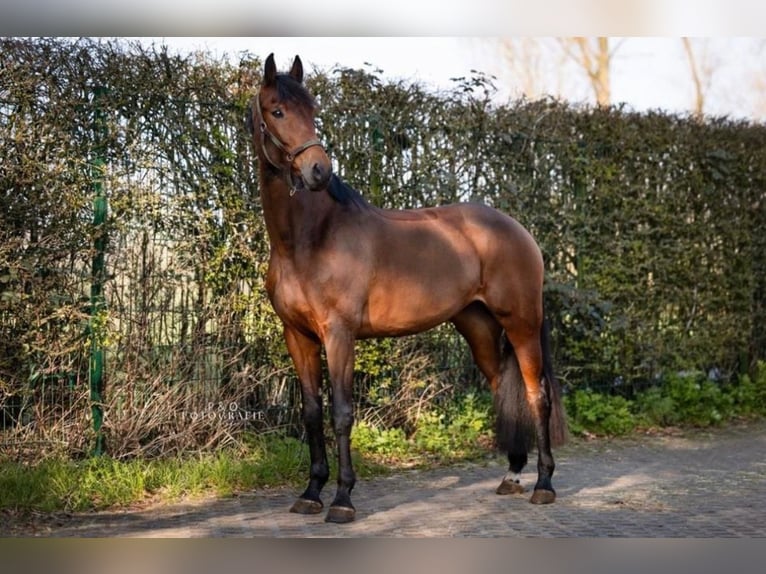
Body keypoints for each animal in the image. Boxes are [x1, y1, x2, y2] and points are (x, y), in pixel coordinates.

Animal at [249, 54, 568, 528]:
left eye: (312, 109)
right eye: (277, 111)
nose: (319, 171)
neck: (310, 238)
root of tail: (517, 228)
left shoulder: (339, 335)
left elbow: (342, 413)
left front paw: (343, 499)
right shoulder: (298, 336)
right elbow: (311, 414)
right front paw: (310, 492)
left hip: (522, 323)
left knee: (536, 395)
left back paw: (543, 484)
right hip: (478, 327)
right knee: (501, 389)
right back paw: (512, 474)